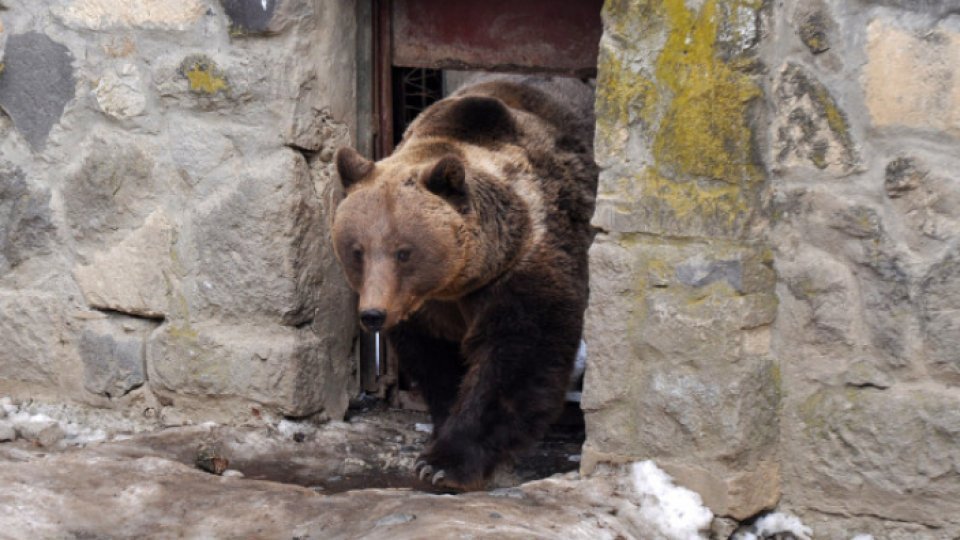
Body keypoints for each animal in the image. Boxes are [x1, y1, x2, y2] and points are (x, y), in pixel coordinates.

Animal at [334, 74, 596, 492]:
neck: (457, 281)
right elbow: (435, 363)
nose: (373, 314)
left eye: (403, 251)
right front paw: (441, 433)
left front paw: (445, 463)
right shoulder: (424, 310)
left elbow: (514, 358)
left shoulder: (524, 266)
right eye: (357, 250)